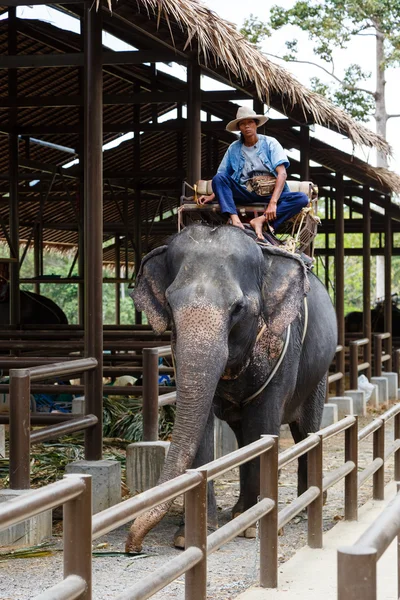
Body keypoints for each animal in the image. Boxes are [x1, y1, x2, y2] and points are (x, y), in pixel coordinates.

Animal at [126, 224, 338, 552]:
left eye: (238, 308)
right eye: (170, 305)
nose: (133, 546)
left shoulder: (283, 348)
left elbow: (263, 424)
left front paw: (254, 528)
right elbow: (202, 428)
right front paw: (189, 536)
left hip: (318, 373)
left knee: (306, 431)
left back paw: (304, 504)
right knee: (242, 435)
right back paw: (239, 511)